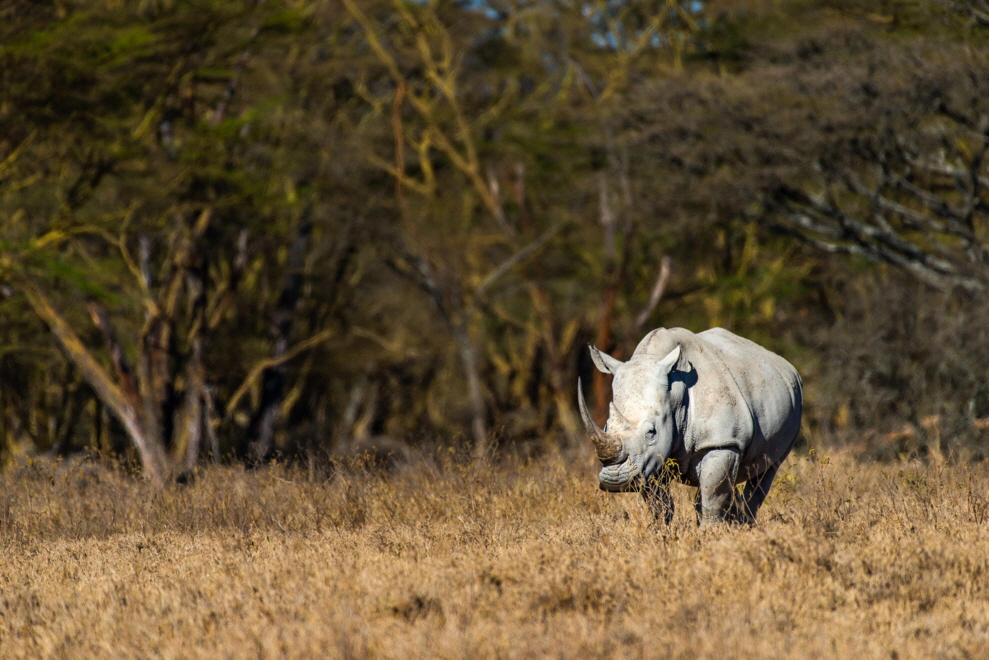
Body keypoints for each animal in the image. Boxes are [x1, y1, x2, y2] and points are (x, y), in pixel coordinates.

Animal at [580, 326, 804, 524]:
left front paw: (711, 535)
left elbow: (713, 499)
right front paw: (661, 533)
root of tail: (788, 367)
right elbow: (660, 506)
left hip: (795, 402)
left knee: (766, 472)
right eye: (606, 427)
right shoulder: (649, 461)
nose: (614, 480)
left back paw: (745, 525)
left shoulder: (722, 442)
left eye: (651, 432)